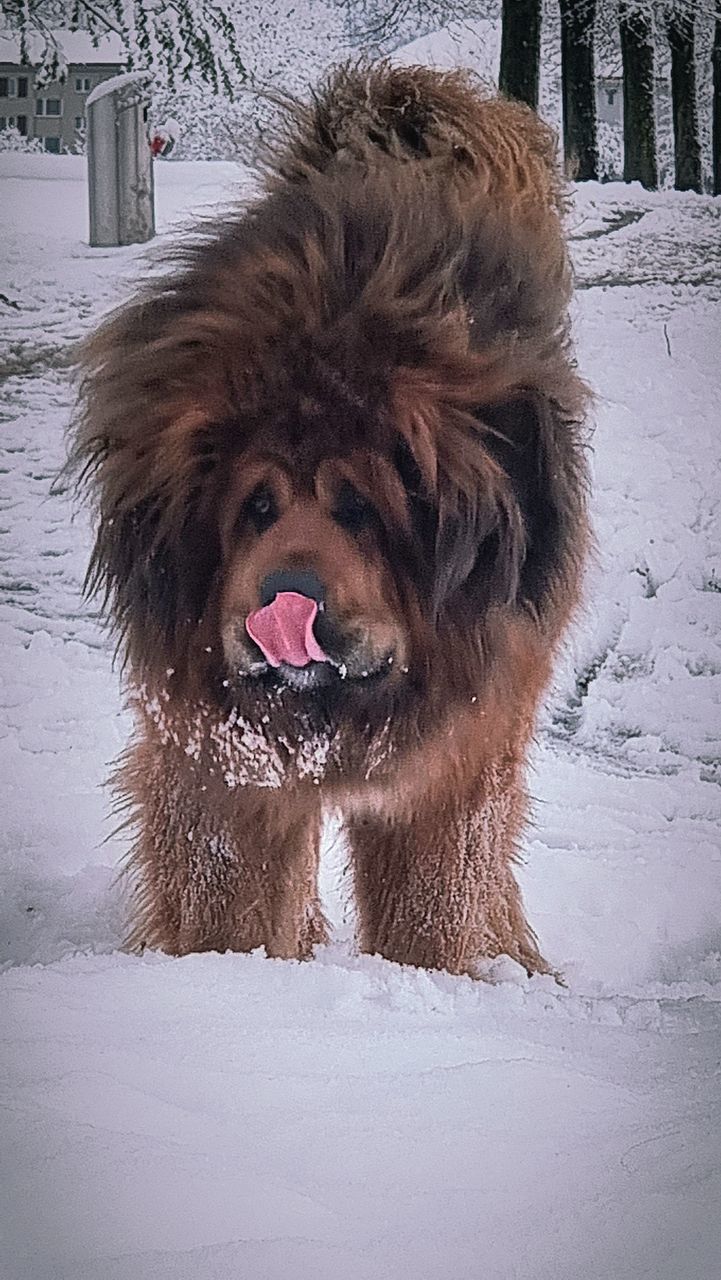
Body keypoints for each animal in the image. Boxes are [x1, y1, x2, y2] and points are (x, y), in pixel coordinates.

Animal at [74, 62, 591, 977]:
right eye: (256, 506)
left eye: (362, 509)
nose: (285, 600)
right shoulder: (219, 771)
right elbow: (228, 903)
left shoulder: (456, 763)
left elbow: (435, 904)